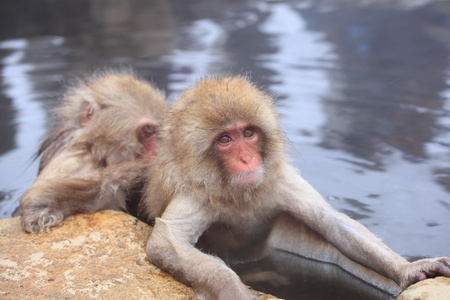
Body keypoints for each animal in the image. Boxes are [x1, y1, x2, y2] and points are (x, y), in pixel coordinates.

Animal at [142, 76, 450, 300]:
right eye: (225, 139)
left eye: (248, 133)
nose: (246, 159)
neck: (241, 193)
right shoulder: (196, 192)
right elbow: (167, 242)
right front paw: (235, 291)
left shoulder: (280, 180)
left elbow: (332, 222)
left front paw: (409, 268)